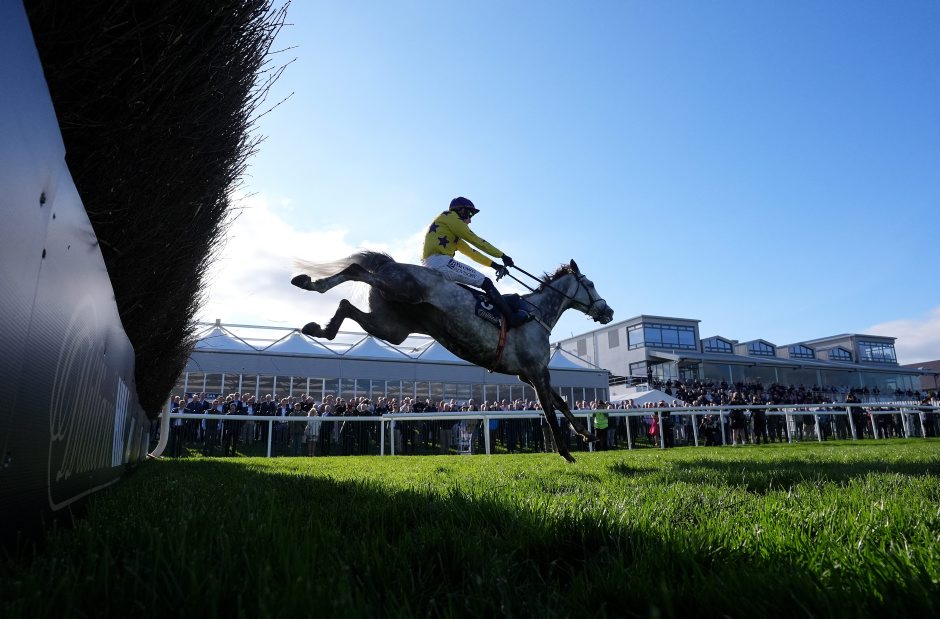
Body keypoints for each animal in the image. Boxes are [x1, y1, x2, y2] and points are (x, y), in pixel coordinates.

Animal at [290, 251, 614, 462]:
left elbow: (560, 403)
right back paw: (309, 283)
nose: (608, 311)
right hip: (404, 289)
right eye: (591, 284)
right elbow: (549, 410)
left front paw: (585, 433)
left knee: (346, 303)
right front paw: (566, 452)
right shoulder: (536, 371)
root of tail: (392, 263)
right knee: (356, 269)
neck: (536, 315)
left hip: (392, 327)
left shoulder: (530, 374)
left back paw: (320, 328)